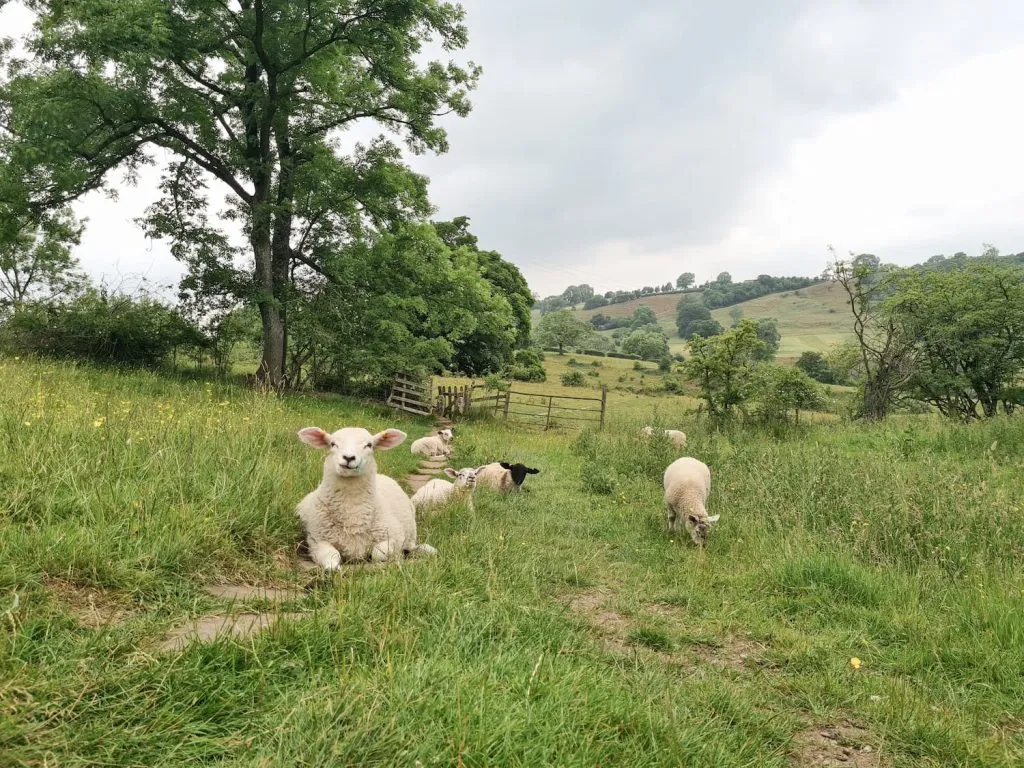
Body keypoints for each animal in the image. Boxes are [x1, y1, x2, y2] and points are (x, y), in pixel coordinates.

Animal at [296, 425, 437, 569]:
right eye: (333, 444)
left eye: (369, 445)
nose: (348, 457)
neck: (352, 514)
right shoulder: (316, 541)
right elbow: (331, 556)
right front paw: (333, 568)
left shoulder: (394, 536)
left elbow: (378, 553)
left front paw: (397, 556)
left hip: (411, 531)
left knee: (412, 546)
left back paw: (424, 549)